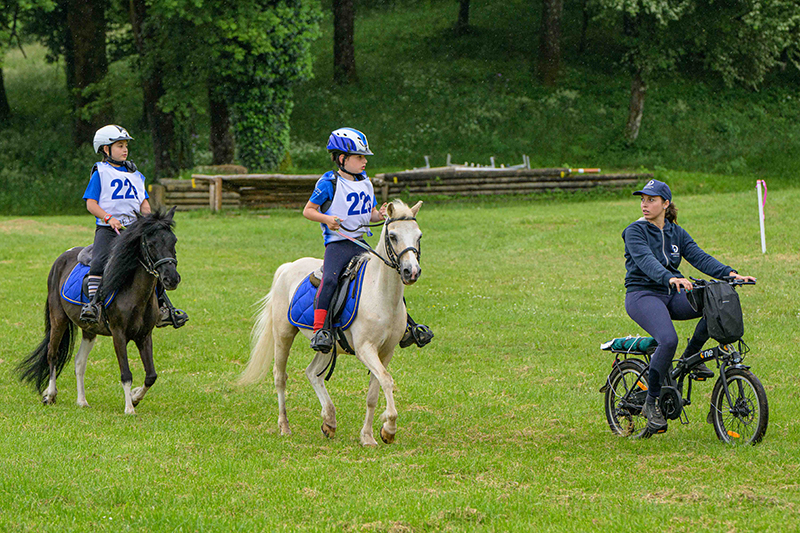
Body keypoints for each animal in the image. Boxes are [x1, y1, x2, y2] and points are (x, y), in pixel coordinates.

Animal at [16, 207, 182, 414]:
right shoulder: (119, 334)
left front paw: (135, 397)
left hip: (89, 329)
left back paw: (82, 401)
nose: (171, 279)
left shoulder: (144, 336)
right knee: (52, 354)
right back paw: (50, 395)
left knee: (79, 362)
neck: (134, 293)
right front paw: (129, 408)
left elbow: (151, 375)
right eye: (151, 244)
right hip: (58, 319)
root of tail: (62, 258)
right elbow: (126, 374)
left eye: (174, 241)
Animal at [239, 200, 424, 446]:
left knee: (312, 373)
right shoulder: (365, 349)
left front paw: (369, 436)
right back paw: (285, 426)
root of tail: (288, 266)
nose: (411, 271)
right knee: (280, 377)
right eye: (393, 236)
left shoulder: (386, 351)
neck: (381, 294)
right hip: (283, 334)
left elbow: (374, 393)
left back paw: (329, 420)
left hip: (327, 345)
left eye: (419, 236)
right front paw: (389, 428)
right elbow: (386, 380)